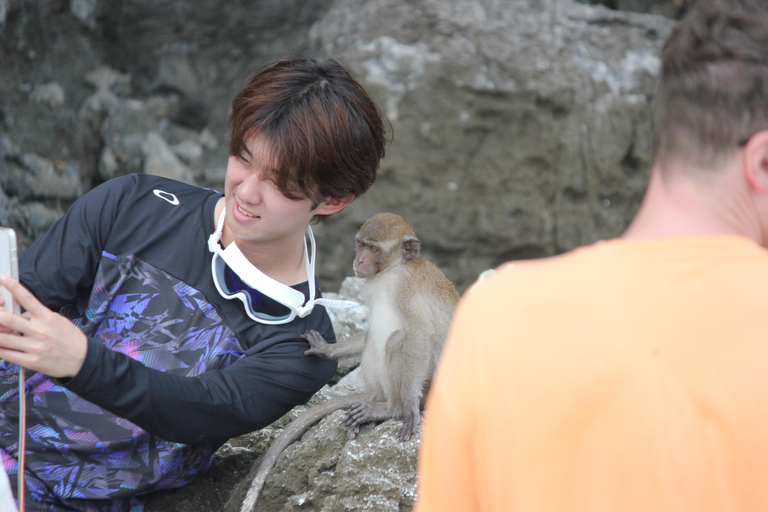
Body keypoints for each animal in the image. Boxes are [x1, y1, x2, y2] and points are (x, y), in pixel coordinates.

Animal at [237, 212, 460, 512]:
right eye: (361, 245)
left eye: (374, 249)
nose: (360, 261)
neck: (391, 271)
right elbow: (370, 332)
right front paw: (327, 350)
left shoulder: (406, 289)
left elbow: (419, 335)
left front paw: (408, 408)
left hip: (432, 385)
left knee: (396, 339)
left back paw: (391, 408)